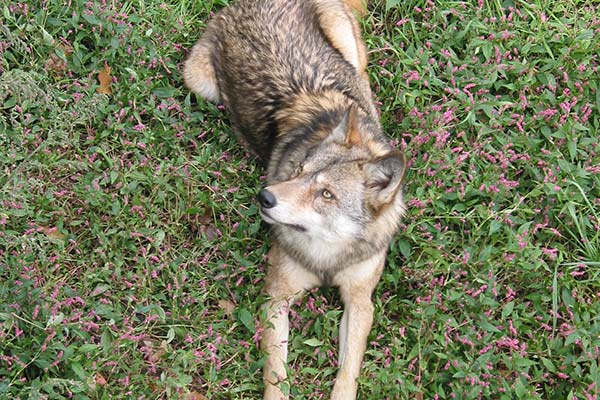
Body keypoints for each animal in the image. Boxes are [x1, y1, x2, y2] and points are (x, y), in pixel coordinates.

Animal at [184, 1, 408, 398]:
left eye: (327, 194)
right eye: (298, 170)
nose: (265, 196)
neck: (328, 253)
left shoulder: (359, 302)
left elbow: (347, 373)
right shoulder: (276, 298)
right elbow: (277, 375)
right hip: (198, 82)